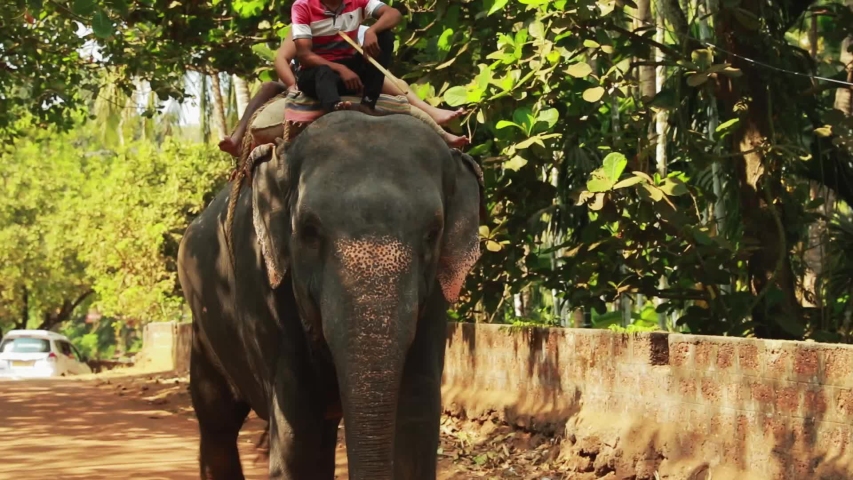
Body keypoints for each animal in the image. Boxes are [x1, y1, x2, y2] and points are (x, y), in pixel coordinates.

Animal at [176, 110, 484, 480]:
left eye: (432, 233)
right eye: (308, 231)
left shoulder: (435, 297)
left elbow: (416, 415)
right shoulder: (264, 290)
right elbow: (296, 430)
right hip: (207, 328)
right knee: (217, 420)